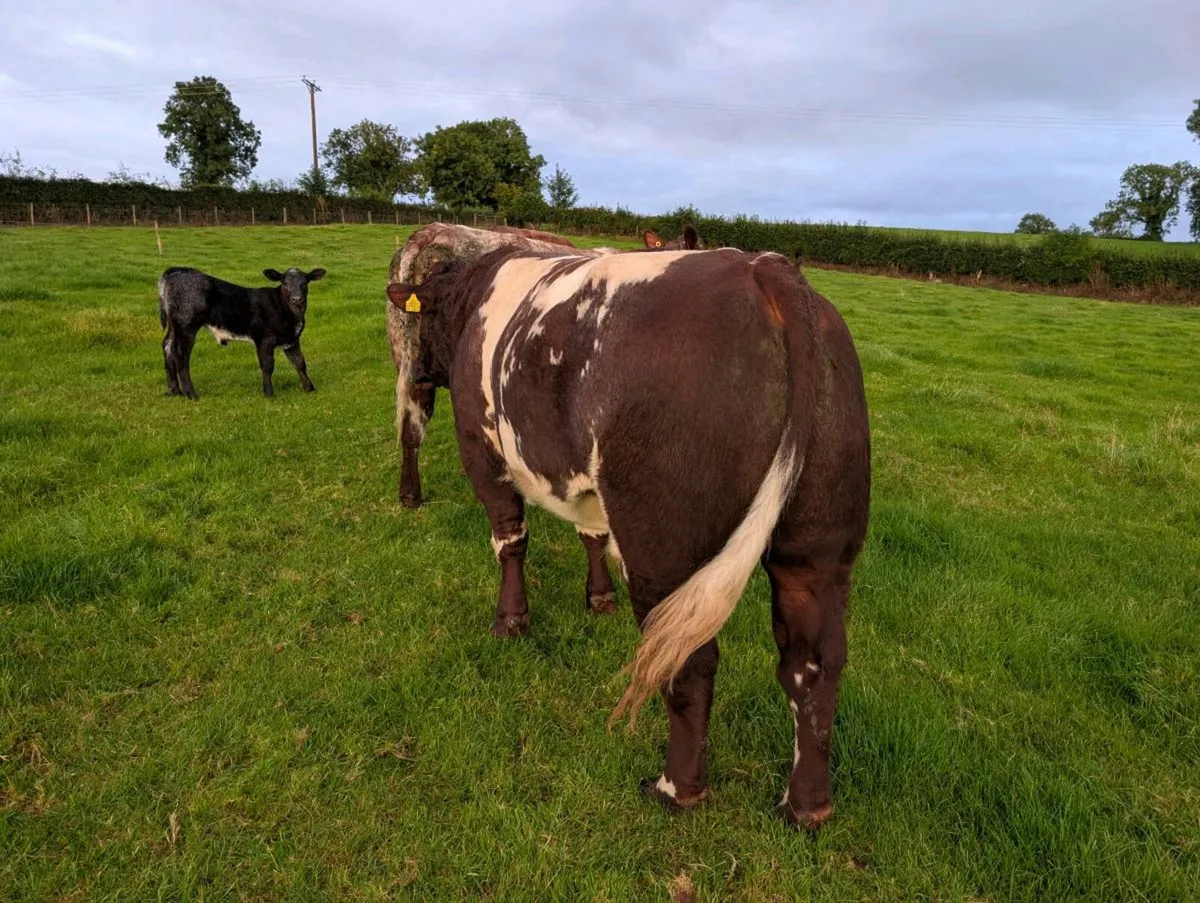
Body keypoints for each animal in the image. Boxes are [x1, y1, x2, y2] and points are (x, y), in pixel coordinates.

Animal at [157, 265, 325, 399]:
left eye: (304, 283)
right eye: (285, 283)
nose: (297, 299)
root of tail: (177, 272)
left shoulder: (291, 339)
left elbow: (300, 363)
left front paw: (310, 388)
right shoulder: (265, 338)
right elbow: (267, 365)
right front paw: (269, 393)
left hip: (174, 327)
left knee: (167, 347)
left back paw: (175, 391)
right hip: (186, 325)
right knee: (180, 353)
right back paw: (191, 394)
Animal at [384, 232, 871, 830]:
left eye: (422, 318)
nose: (417, 374)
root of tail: (766, 271)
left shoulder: (481, 449)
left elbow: (510, 540)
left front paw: (511, 621)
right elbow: (591, 534)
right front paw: (598, 598)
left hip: (664, 545)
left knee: (688, 659)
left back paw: (676, 788)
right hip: (819, 546)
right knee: (813, 662)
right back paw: (805, 807)